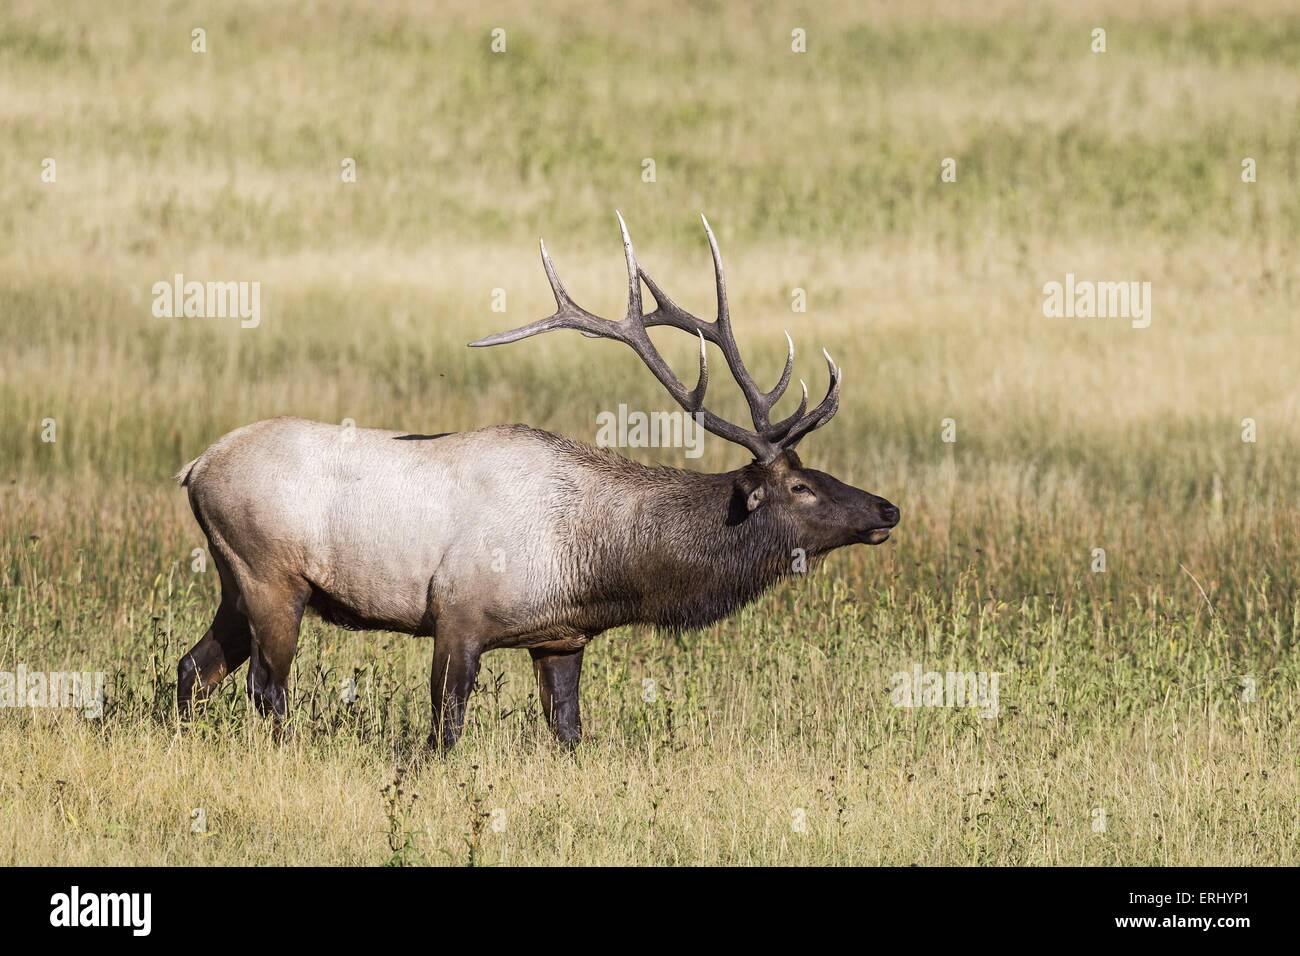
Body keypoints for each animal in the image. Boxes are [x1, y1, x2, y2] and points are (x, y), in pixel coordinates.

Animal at [175, 214, 899, 750]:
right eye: (802, 488)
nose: (886, 510)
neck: (593, 562)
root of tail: (196, 467)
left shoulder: (559, 638)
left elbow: (569, 734)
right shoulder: (458, 613)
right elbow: (443, 732)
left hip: (235, 580)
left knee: (193, 666)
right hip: (272, 574)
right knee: (267, 689)